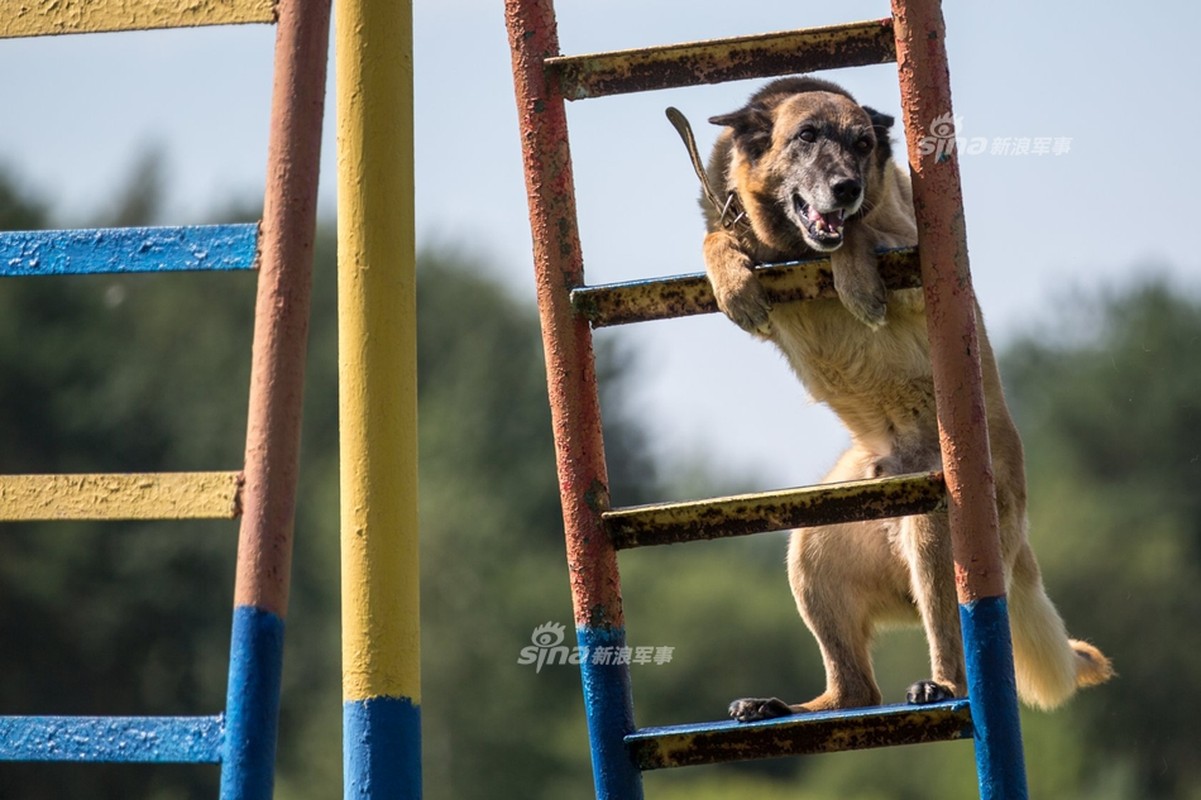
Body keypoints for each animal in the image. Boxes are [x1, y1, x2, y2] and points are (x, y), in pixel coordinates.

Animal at [686, 78, 1114, 720]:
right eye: (806, 136)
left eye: (863, 144)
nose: (847, 188)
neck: (789, 243)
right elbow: (717, 237)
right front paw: (734, 281)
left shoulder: (920, 264)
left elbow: (860, 234)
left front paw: (856, 279)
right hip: (811, 552)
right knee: (856, 689)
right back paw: (780, 707)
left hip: (938, 540)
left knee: (951, 648)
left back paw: (939, 686)